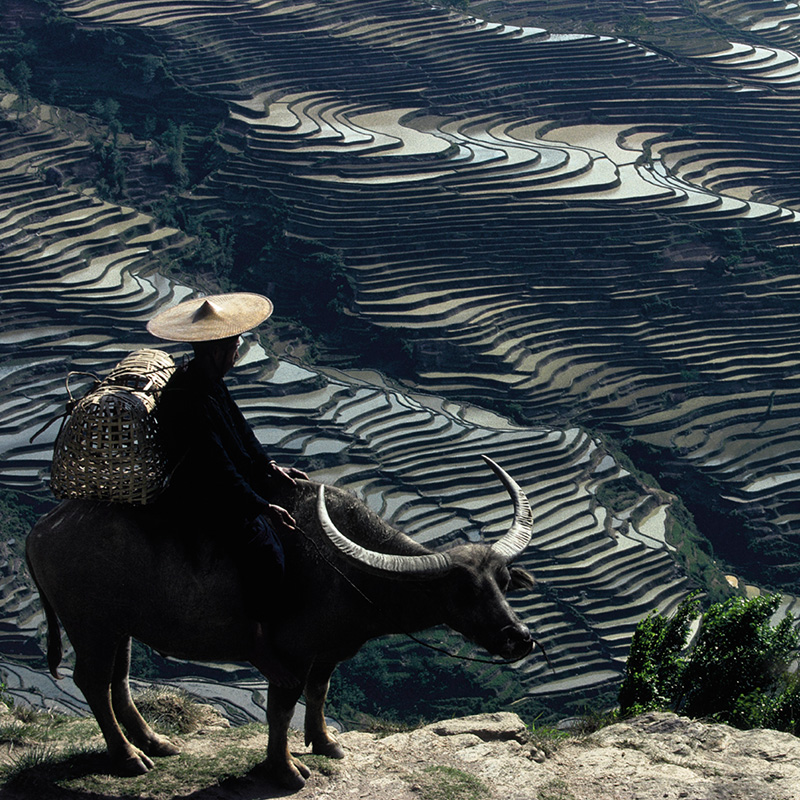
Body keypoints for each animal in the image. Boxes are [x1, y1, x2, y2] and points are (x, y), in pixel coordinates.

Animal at [26, 456, 536, 788]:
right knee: (92, 681)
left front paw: (325, 744)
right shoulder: (290, 655)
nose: (520, 638)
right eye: (464, 590)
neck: (348, 571)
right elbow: (281, 708)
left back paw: (155, 743)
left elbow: (319, 692)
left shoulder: (329, 652)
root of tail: (41, 530)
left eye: (503, 581)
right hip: (91, 626)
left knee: (119, 679)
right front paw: (286, 770)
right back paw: (128, 758)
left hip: (120, 628)